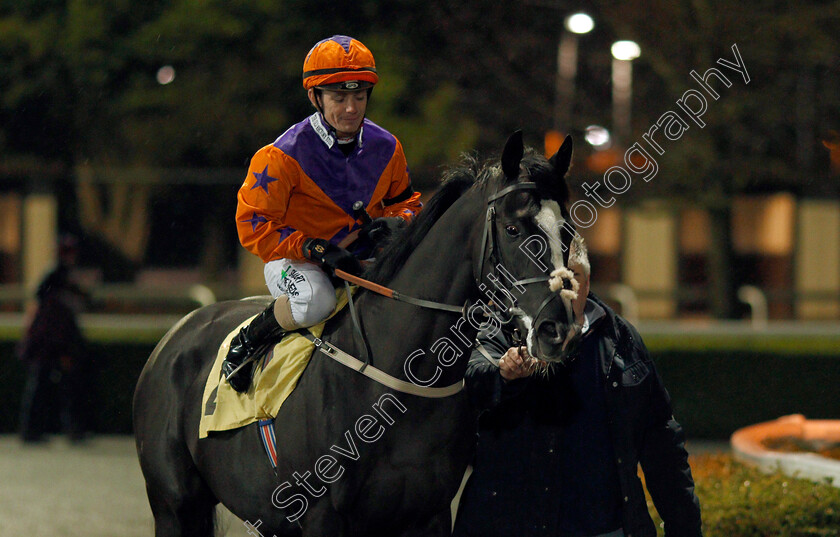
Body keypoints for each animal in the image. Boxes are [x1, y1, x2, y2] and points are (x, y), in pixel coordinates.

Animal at [136, 131, 584, 536]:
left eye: (566, 233)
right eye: (513, 229)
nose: (556, 329)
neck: (399, 382)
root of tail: (174, 335)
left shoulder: (430, 514)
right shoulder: (322, 517)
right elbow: (258, 217)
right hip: (174, 506)